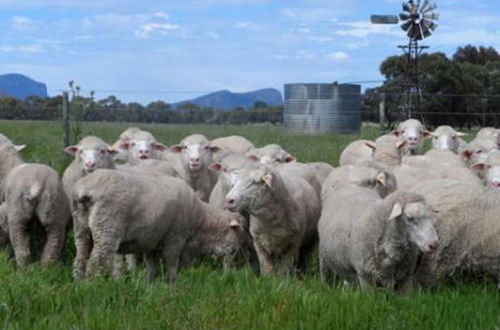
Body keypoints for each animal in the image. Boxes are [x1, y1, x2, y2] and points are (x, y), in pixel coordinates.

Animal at [71, 169, 204, 282]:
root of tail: (85, 189)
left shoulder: (152, 239)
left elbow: (152, 263)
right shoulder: (175, 236)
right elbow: (171, 264)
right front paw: (172, 285)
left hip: (81, 225)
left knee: (80, 257)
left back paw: (79, 285)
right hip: (106, 225)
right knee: (96, 262)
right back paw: (93, 286)